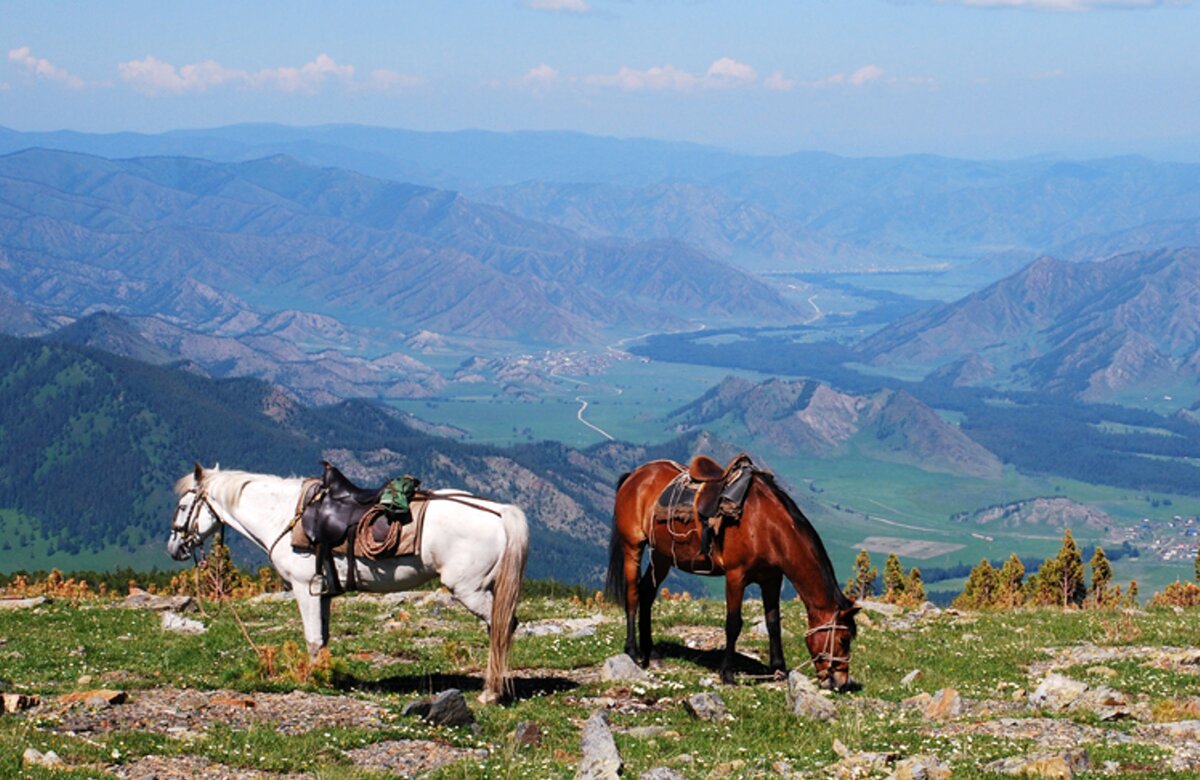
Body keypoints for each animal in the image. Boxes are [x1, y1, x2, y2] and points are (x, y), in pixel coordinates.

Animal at [166, 460, 528, 700]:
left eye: (183, 506)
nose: (174, 547)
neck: (284, 516)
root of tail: (499, 511)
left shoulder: (304, 588)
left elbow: (312, 639)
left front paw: (314, 681)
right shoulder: (322, 592)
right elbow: (324, 638)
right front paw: (328, 676)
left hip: (469, 589)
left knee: (501, 626)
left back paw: (491, 693)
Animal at [604, 456, 859, 686]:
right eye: (844, 639)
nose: (840, 682)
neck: (766, 525)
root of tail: (635, 475)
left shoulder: (772, 579)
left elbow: (773, 623)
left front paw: (778, 670)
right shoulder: (736, 576)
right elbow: (733, 624)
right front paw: (728, 674)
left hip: (662, 556)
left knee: (647, 593)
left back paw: (652, 654)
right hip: (633, 547)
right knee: (633, 595)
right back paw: (632, 652)